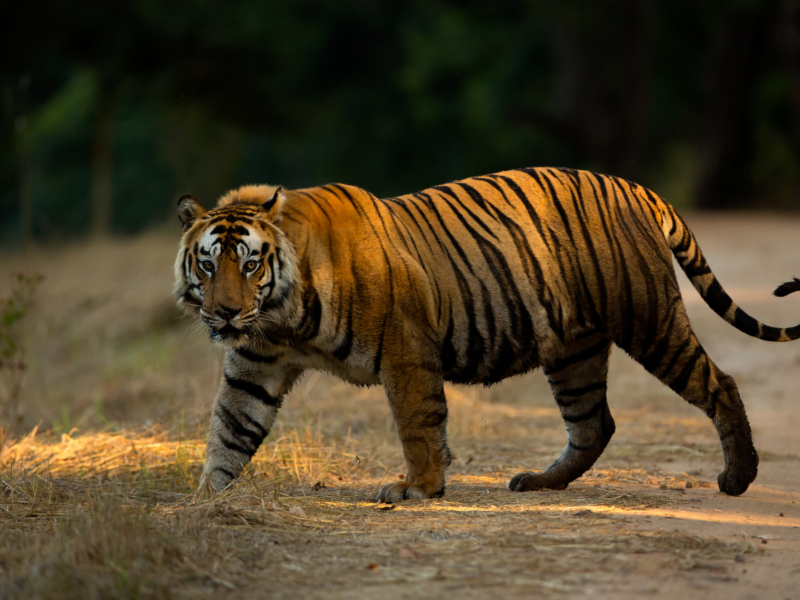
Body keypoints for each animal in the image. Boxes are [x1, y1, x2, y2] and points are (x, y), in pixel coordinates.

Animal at [173, 168, 800, 502]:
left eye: (250, 264)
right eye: (208, 264)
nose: (225, 313)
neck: (282, 314)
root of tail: (636, 186)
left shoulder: (406, 349)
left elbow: (418, 424)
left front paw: (418, 489)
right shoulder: (255, 365)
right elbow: (230, 430)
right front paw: (203, 502)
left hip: (648, 320)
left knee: (719, 382)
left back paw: (739, 477)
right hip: (574, 349)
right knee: (593, 422)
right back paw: (540, 481)